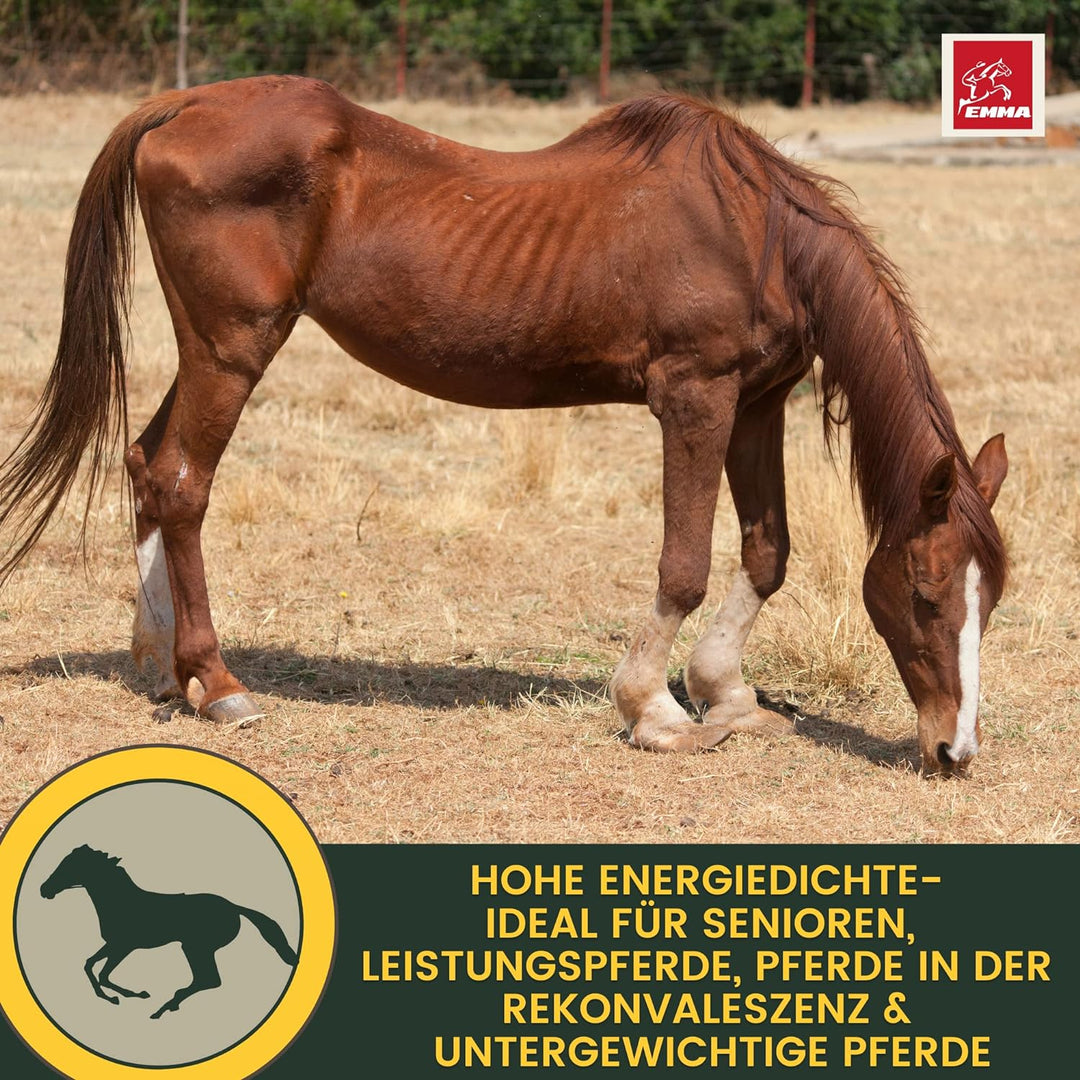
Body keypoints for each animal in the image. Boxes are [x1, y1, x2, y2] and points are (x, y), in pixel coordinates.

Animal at [0, 78, 1007, 775]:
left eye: (989, 599)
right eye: (924, 594)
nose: (953, 752)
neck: (755, 231)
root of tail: (183, 102)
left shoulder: (757, 404)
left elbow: (767, 553)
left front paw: (725, 693)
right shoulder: (695, 399)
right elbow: (683, 565)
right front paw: (654, 711)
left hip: (211, 348)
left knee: (146, 462)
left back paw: (158, 660)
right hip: (233, 347)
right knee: (183, 484)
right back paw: (218, 685)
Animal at [39, 844, 298, 1019]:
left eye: (69, 866)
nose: (44, 889)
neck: (120, 900)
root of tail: (234, 907)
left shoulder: (123, 946)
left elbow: (102, 974)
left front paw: (130, 995)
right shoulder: (113, 944)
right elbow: (89, 965)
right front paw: (113, 997)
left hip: (196, 947)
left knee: (209, 980)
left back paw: (164, 1007)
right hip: (197, 949)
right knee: (207, 980)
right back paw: (169, 1004)